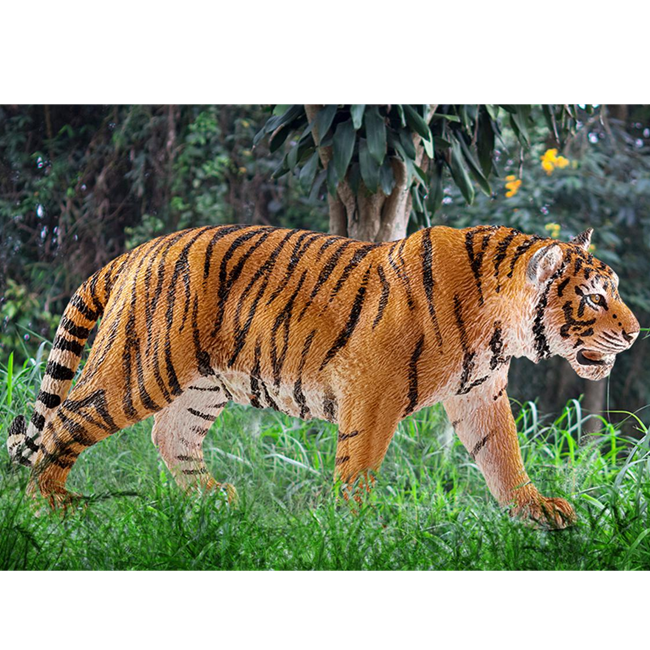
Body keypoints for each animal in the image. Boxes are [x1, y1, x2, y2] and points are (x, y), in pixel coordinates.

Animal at [6, 223, 639, 528]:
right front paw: (354, 531)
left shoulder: (480, 394)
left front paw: (536, 511)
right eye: (593, 296)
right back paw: (50, 506)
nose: (636, 333)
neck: (500, 326)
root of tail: (137, 251)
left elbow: (503, 456)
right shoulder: (373, 390)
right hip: (140, 369)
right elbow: (359, 464)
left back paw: (215, 502)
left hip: (202, 385)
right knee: (65, 420)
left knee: (170, 435)